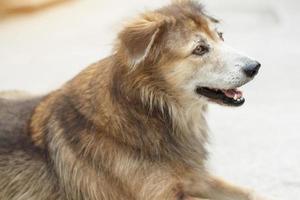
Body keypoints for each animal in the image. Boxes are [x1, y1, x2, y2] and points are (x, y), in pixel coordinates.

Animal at [0, 0, 264, 199]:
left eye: (220, 36)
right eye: (199, 49)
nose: (255, 67)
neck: (150, 108)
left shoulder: (195, 177)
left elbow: (252, 192)